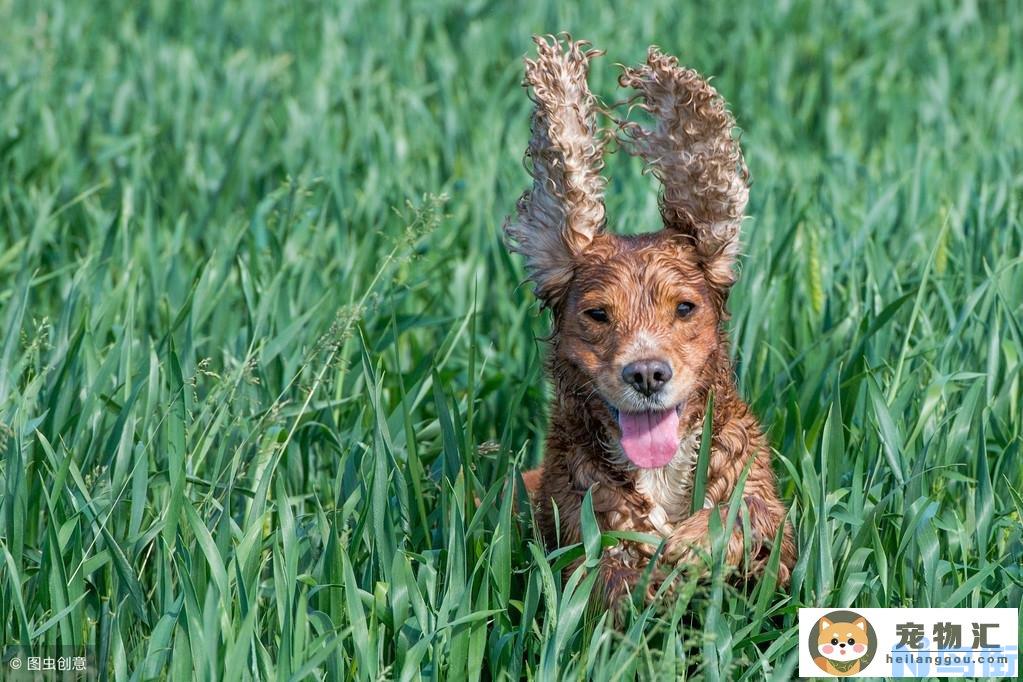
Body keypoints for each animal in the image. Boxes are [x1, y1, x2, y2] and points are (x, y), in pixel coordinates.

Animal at [507, 34, 793, 605]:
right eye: (597, 313)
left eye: (684, 307)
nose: (646, 374)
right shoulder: (577, 520)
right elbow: (610, 572)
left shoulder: (770, 511)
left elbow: (747, 514)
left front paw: (690, 544)